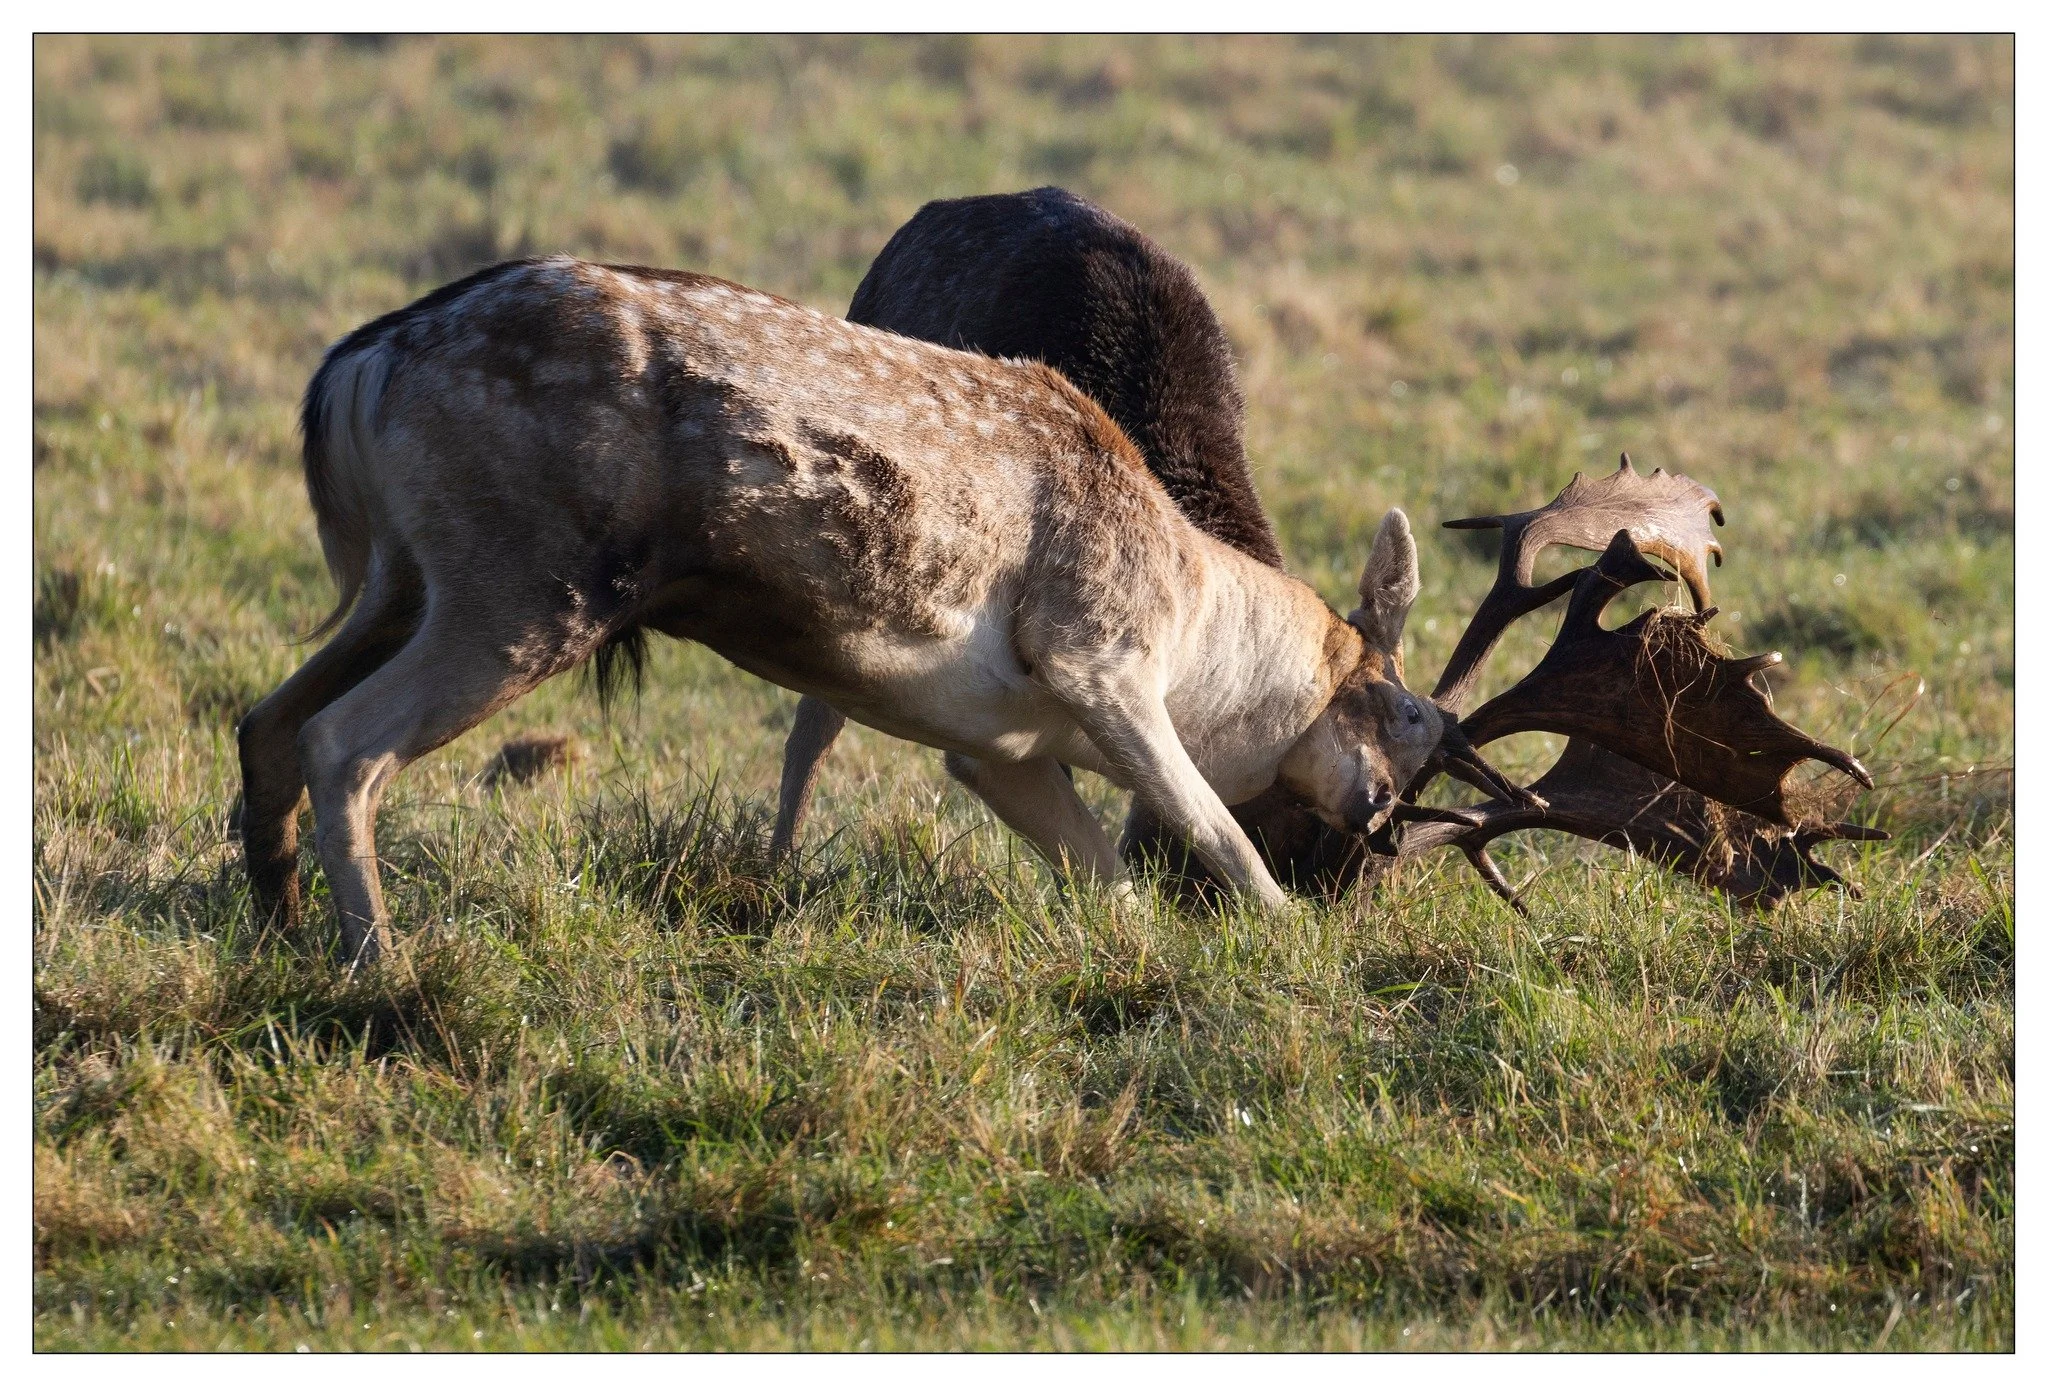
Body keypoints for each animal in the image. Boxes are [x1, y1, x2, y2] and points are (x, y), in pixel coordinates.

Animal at [238, 253, 1525, 967]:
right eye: (1407, 715)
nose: (1374, 824)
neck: (1199, 636)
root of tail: (355, 366)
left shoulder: (998, 745)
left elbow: (1102, 877)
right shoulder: (1094, 649)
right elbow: (1209, 827)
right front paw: (1283, 938)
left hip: (405, 575)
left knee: (267, 716)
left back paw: (276, 925)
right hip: (521, 585)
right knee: (343, 739)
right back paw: (379, 965)